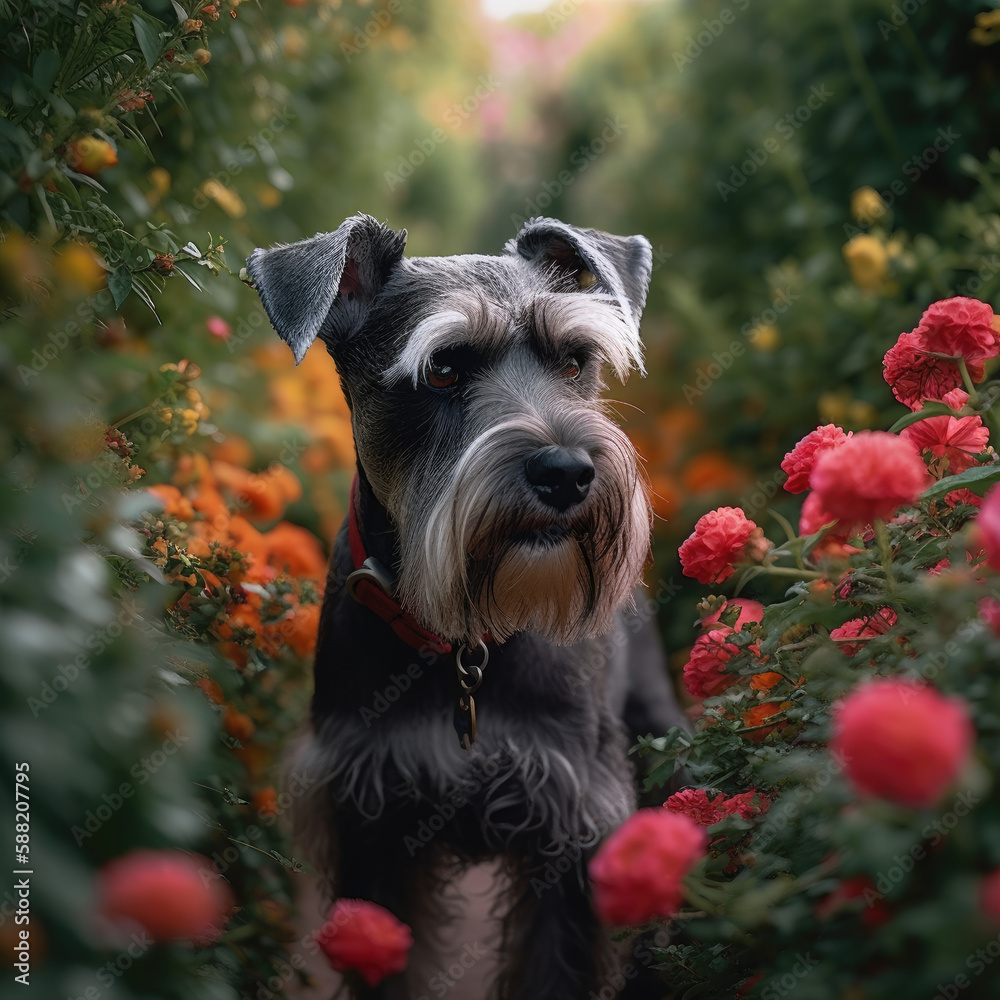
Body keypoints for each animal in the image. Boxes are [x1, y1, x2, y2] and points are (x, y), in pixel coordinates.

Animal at [248, 215, 688, 996]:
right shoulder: (371, 816)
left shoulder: (573, 821)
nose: (567, 472)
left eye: (574, 360)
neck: (466, 638)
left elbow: (556, 969)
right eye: (444, 369)